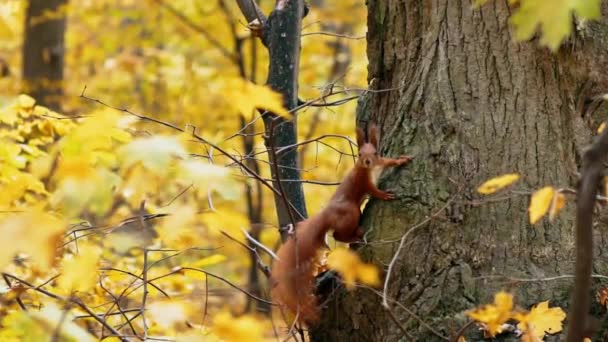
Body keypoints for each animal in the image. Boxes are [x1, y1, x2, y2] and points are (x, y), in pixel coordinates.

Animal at [270, 124, 414, 324]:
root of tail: (327, 215)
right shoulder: (363, 182)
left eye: (375, 152)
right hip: (352, 212)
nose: (367, 162)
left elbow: (389, 161)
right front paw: (385, 195)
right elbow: (373, 191)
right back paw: (357, 235)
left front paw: (402, 159)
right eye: (359, 154)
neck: (370, 170)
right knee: (338, 234)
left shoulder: (380, 163)